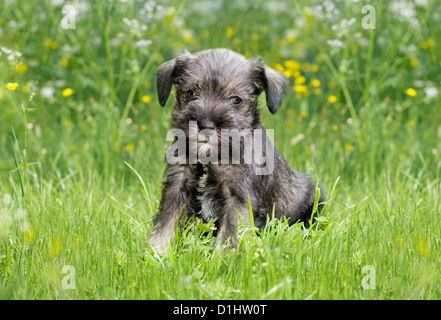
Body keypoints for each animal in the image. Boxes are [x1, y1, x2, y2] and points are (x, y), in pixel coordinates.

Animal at [148, 48, 324, 252]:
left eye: (236, 99)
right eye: (191, 93)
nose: (206, 125)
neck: (210, 158)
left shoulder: (238, 198)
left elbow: (228, 237)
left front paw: (220, 259)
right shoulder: (176, 186)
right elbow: (166, 224)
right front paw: (157, 253)